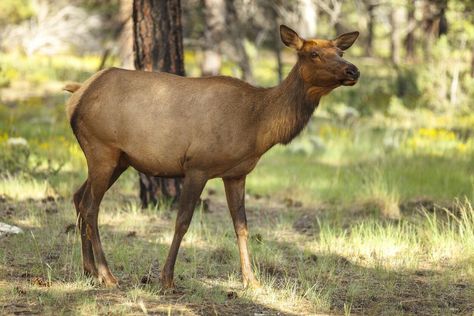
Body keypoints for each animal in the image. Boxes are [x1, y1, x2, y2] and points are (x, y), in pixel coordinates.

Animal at [64, 25, 360, 288]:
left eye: (340, 52)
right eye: (313, 53)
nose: (353, 70)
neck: (258, 125)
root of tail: (77, 94)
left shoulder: (236, 174)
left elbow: (242, 226)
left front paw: (251, 280)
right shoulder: (198, 166)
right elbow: (182, 221)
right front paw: (167, 278)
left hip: (119, 160)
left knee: (78, 196)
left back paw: (89, 269)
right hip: (102, 149)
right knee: (91, 207)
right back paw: (107, 275)